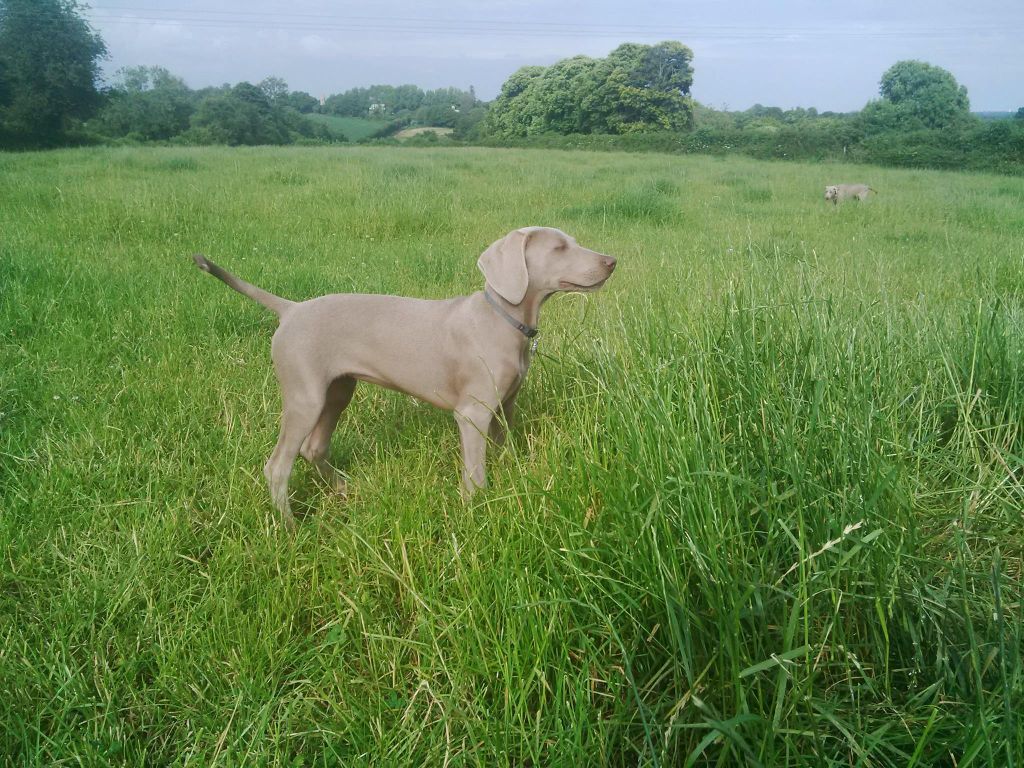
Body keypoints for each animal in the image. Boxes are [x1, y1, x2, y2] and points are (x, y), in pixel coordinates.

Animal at [195, 228, 618, 528]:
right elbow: (475, 473)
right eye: (559, 248)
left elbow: (504, 449)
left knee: (313, 447)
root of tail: (291, 309)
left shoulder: (505, 406)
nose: (612, 261)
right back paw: (290, 528)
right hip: (304, 394)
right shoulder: (472, 413)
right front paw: (474, 512)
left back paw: (343, 488)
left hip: (338, 390)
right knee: (278, 466)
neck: (503, 318)